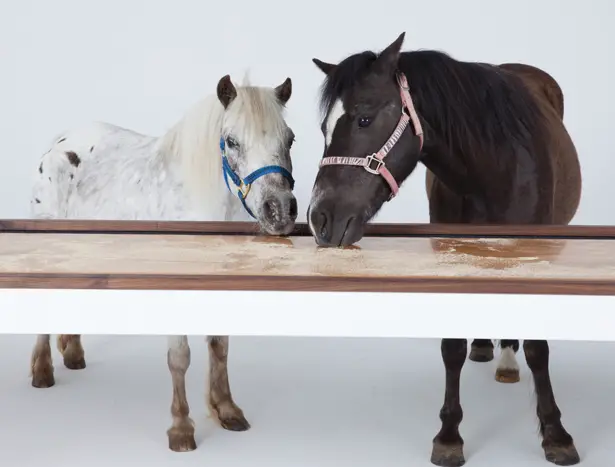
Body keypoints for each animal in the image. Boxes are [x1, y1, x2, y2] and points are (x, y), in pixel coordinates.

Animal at [28, 74, 296, 454]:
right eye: (232, 141)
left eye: (289, 139)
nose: (281, 210)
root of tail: (59, 142)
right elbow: (179, 358)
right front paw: (181, 429)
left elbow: (220, 347)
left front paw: (227, 410)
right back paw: (42, 371)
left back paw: (73, 353)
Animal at [308, 31, 584, 466]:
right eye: (323, 127)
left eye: (364, 118)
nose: (319, 218)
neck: (495, 170)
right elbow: (451, 347)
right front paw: (450, 435)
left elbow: (539, 348)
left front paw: (555, 433)